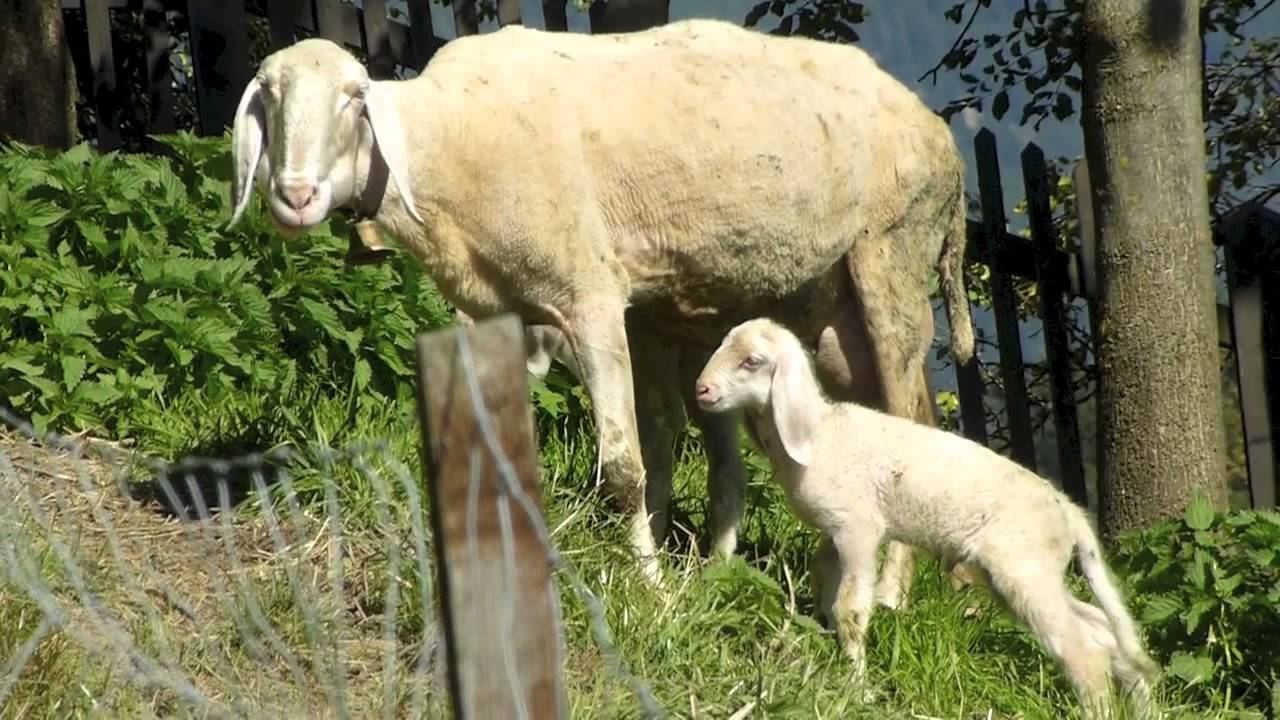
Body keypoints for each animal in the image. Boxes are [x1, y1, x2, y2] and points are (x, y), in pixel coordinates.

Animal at [225, 19, 976, 587]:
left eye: (354, 100)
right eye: (268, 100)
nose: (294, 197)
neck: (449, 144)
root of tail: (939, 135)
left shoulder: (589, 298)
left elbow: (624, 465)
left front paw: (650, 590)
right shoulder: (509, 312)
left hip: (891, 263)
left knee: (914, 422)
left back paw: (897, 593)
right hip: (830, 320)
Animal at [692, 317, 1161, 718]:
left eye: (752, 361)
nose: (702, 390)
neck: (819, 435)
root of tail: (1068, 511)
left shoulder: (860, 529)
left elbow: (851, 610)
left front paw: (857, 689)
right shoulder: (833, 532)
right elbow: (823, 583)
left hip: (1024, 570)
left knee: (1085, 651)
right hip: (1024, 576)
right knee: (1102, 629)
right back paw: (1142, 705)